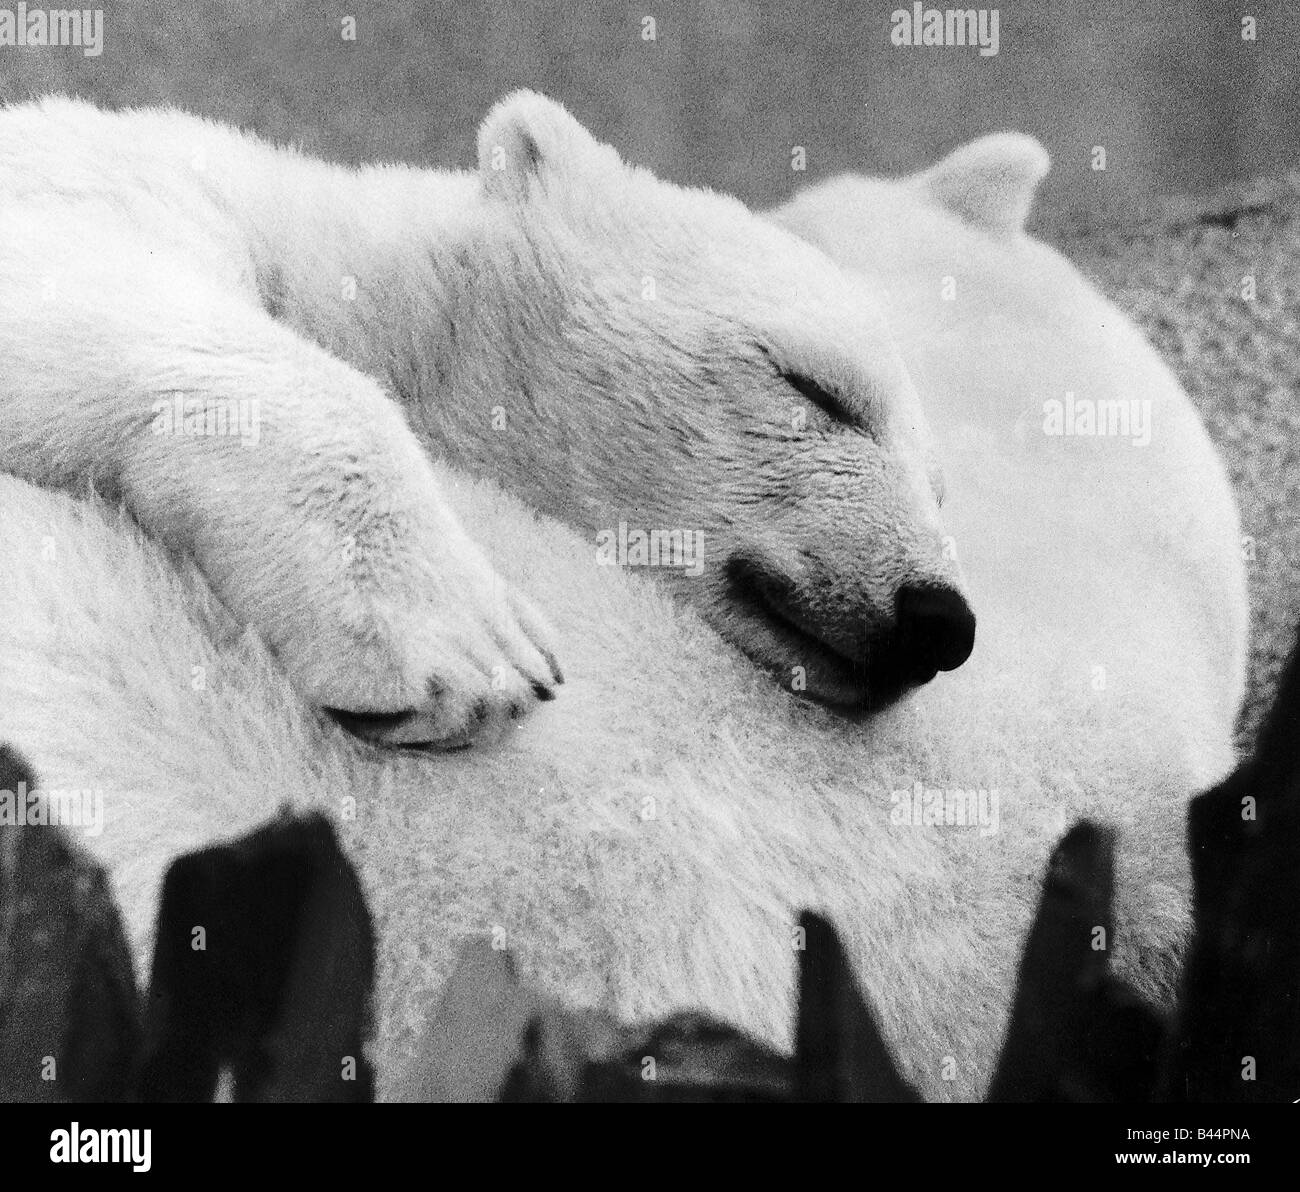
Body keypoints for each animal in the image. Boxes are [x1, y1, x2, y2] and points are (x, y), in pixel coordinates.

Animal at [0, 92, 1248, 1097]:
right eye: (817, 390)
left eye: (941, 483)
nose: (938, 618)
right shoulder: (130, 178)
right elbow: (82, 288)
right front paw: (462, 648)